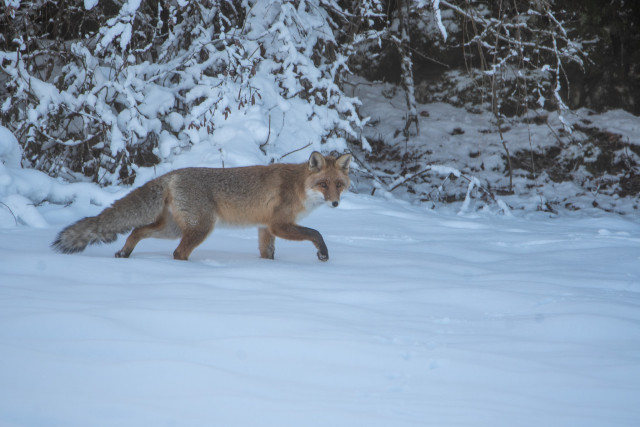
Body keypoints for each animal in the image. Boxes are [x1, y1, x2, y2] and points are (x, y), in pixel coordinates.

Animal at [51, 151, 352, 262]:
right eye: (323, 184)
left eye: (339, 184)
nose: (336, 203)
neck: (299, 187)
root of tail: (172, 175)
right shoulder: (279, 225)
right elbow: (315, 233)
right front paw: (323, 253)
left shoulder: (265, 228)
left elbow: (268, 254)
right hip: (201, 227)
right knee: (177, 253)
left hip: (172, 228)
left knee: (137, 230)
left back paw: (125, 253)